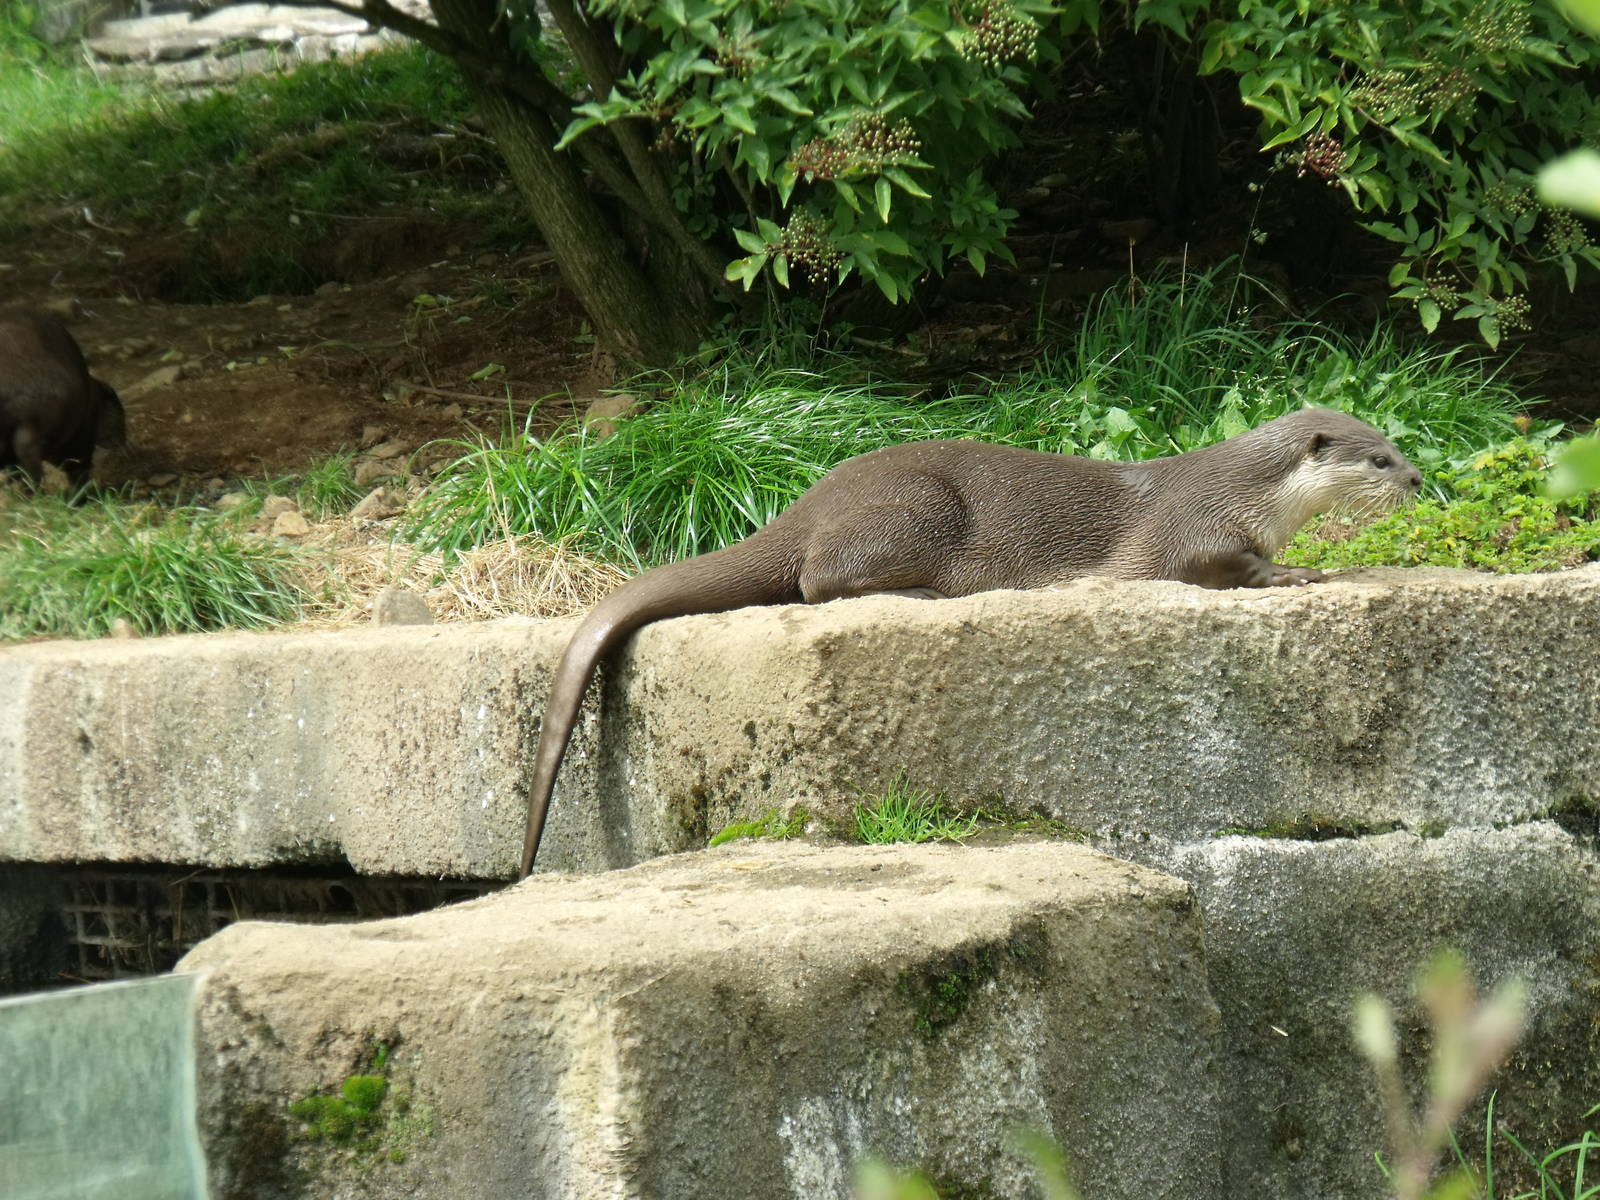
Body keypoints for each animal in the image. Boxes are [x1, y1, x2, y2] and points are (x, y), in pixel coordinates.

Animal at [520, 406, 1420, 874]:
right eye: (1378, 458)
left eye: (1398, 446)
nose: (1416, 478)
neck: (1247, 492)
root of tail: (811, 500)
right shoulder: (1190, 531)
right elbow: (1220, 567)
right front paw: (1298, 575)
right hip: (916, 506)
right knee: (817, 580)